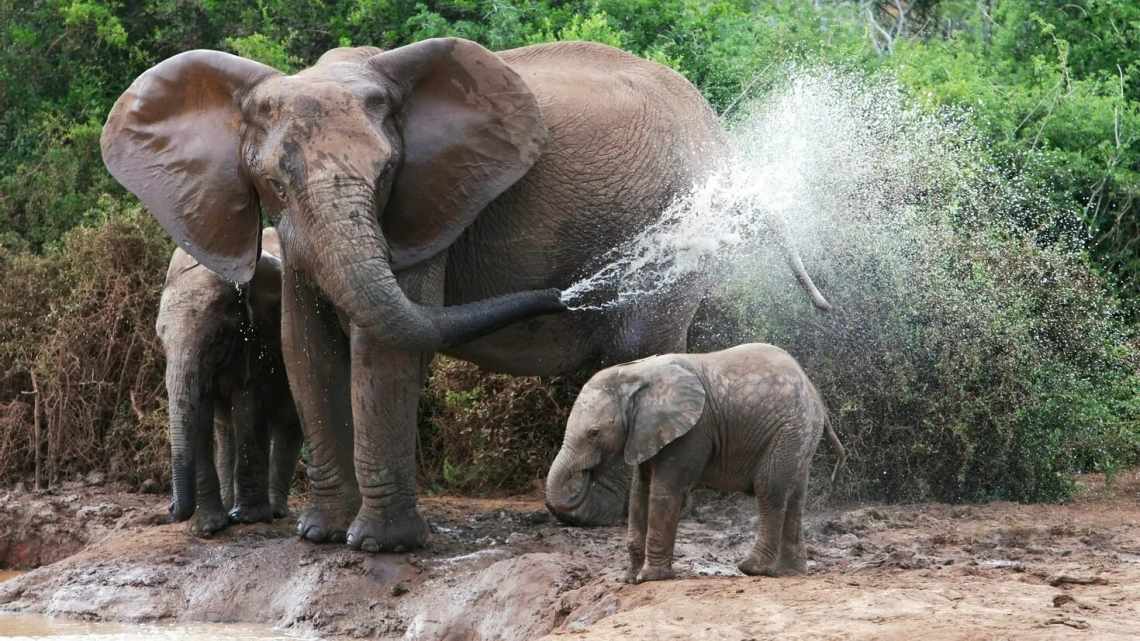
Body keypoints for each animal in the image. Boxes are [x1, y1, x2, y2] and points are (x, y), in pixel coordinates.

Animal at [158, 226, 307, 531]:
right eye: (161, 340)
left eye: (216, 337)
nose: (170, 507)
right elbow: (201, 413)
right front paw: (210, 528)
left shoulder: (258, 334)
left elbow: (247, 403)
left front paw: (248, 519)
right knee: (225, 428)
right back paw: (230, 508)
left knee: (288, 421)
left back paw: (274, 511)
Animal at [542, 342, 848, 581]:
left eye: (594, 433)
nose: (587, 474)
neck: (636, 374)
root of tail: (814, 393)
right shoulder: (646, 432)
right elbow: (640, 492)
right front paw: (629, 578)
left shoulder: (692, 431)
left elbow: (664, 491)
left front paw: (650, 578)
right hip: (800, 434)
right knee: (795, 495)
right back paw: (789, 572)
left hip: (789, 429)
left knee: (770, 489)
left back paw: (752, 568)